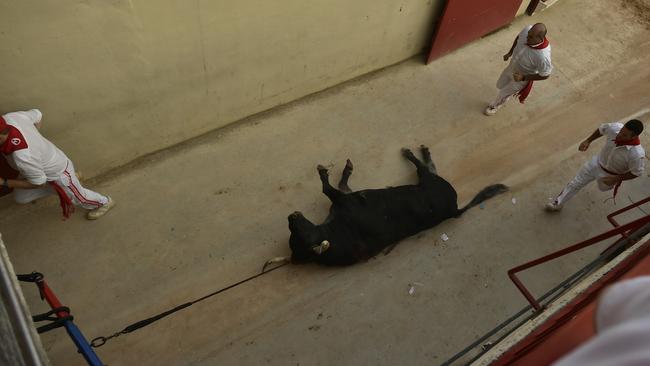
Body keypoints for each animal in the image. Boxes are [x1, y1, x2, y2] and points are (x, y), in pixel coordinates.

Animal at [262, 145, 506, 268]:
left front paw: (337, 170)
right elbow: (331, 187)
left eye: (299, 232)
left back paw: (414, 152)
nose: (292, 216)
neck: (333, 234)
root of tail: (455, 209)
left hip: (428, 181)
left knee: (425, 167)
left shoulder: (344, 199)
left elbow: (334, 186)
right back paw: (417, 152)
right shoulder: (344, 199)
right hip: (429, 182)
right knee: (426, 167)